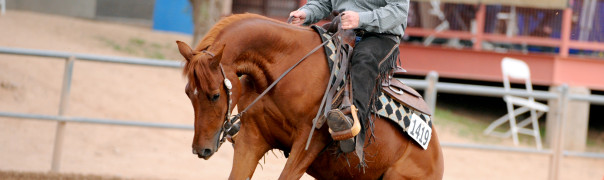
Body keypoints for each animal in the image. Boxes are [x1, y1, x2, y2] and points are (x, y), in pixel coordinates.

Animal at [177, 13, 442, 179]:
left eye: (214, 95)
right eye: (188, 93)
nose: (201, 149)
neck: (285, 68)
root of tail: (436, 154)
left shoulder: (308, 142)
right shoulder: (252, 139)